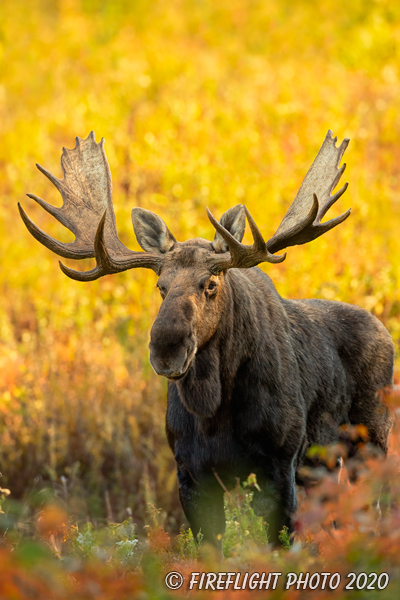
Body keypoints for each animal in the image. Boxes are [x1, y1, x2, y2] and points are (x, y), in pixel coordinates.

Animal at [18, 130, 394, 544]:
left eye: (210, 284)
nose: (167, 348)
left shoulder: (281, 463)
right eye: (161, 286)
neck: (213, 408)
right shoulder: (190, 472)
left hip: (369, 442)